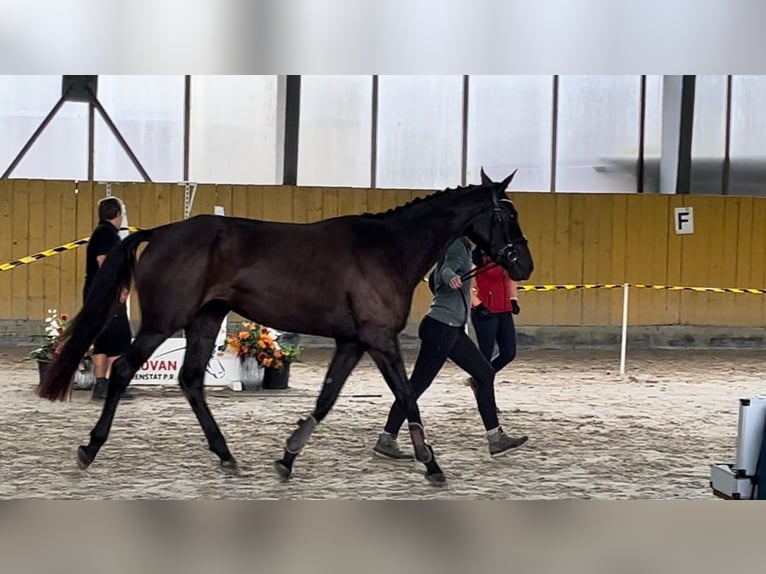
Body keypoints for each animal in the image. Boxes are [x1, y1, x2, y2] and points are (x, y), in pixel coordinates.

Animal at [37, 170, 536, 486]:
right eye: (507, 215)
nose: (524, 265)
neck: (388, 248)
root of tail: (160, 232)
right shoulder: (379, 338)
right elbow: (408, 394)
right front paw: (431, 465)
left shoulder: (353, 342)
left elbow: (326, 399)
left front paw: (287, 456)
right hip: (164, 322)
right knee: (123, 370)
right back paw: (89, 449)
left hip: (205, 320)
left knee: (192, 380)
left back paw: (227, 456)